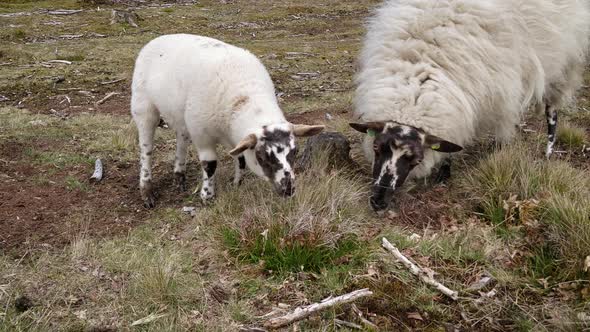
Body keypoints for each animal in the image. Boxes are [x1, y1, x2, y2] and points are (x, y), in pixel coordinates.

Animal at [132, 33, 326, 208]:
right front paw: (207, 196)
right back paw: (146, 190)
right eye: (262, 157)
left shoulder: (235, 137)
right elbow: (210, 165)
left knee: (181, 138)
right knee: (146, 149)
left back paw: (179, 176)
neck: (245, 96)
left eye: (295, 151)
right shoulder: (203, 136)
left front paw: (236, 184)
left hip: (181, 115)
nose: (288, 189)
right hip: (143, 106)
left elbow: (240, 159)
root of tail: (158, 38)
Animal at [352, 0, 590, 213]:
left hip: (563, 65)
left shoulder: (503, 97)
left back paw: (548, 152)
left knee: (552, 112)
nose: (378, 202)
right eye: (376, 147)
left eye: (416, 160)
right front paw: (444, 172)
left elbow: (501, 133)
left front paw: (497, 155)